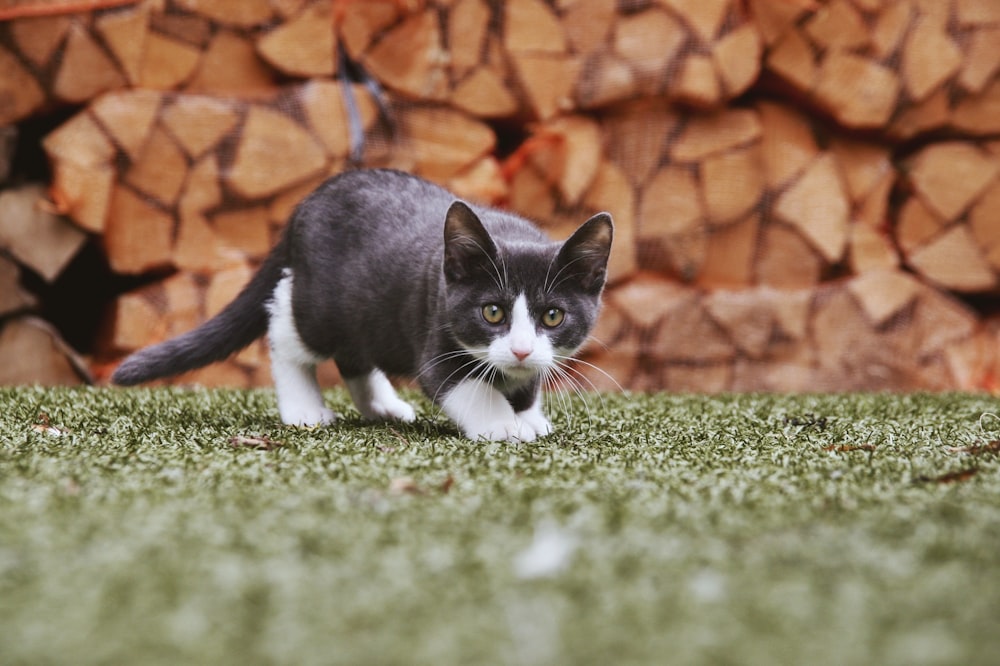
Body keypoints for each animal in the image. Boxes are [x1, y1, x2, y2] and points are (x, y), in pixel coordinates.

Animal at [109, 169, 608, 440]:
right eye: (493, 312)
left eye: (552, 316)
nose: (521, 349)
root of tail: (306, 205)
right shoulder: (437, 331)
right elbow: (465, 385)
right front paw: (504, 424)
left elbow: (524, 382)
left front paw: (528, 413)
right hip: (321, 305)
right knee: (285, 328)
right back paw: (304, 410)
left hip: (370, 314)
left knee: (355, 355)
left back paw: (383, 406)